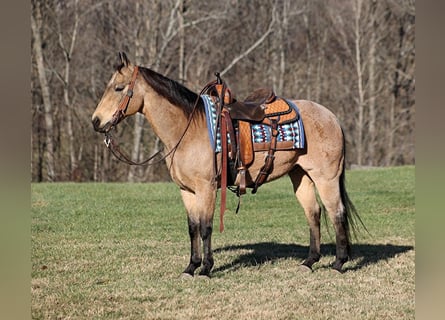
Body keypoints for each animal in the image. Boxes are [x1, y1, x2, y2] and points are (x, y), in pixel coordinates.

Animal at [91, 52, 364, 278]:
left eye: (118, 88)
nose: (96, 121)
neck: (189, 129)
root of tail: (331, 116)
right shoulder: (187, 191)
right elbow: (192, 228)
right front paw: (190, 267)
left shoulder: (207, 188)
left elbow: (206, 228)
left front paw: (205, 269)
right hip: (301, 176)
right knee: (314, 213)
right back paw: (309, 262)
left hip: (326, 178)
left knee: (336, 213)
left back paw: (339, 263)